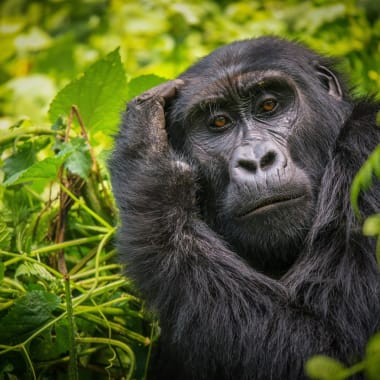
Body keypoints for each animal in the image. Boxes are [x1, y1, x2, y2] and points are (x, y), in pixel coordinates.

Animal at [109, 36, 380, 380]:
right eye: (219, 123)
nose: (256, 160)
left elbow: (330, 349)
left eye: (269, 106)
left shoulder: (367, 147)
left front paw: (148, 165)